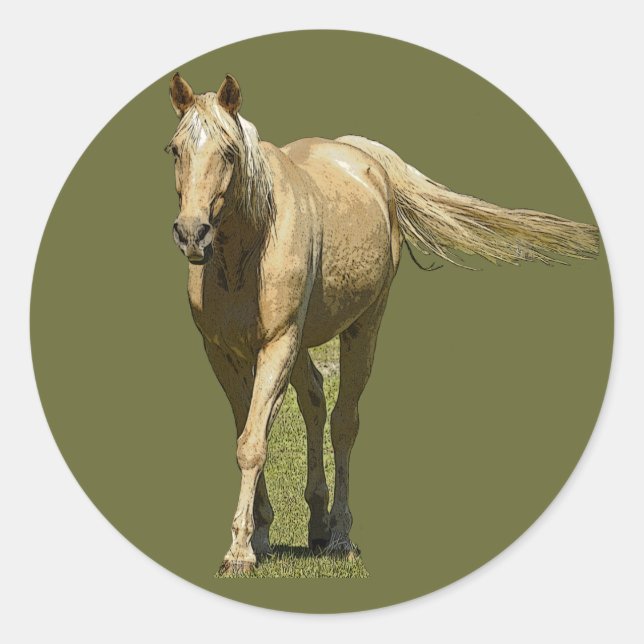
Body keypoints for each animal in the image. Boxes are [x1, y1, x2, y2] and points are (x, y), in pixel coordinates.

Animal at [166, 72, 599, 574]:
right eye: (175, 149)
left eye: (230, 153)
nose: (192, 233)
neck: (246, 250)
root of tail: (361, 156)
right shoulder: (221, 352)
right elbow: (246, 435)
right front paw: (258, 537)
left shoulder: (277, 344)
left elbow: (253, 443)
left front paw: (239, 552)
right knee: (315, 400)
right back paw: (316, 526)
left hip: (362, 328)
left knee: (343, 422)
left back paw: (338, 536)